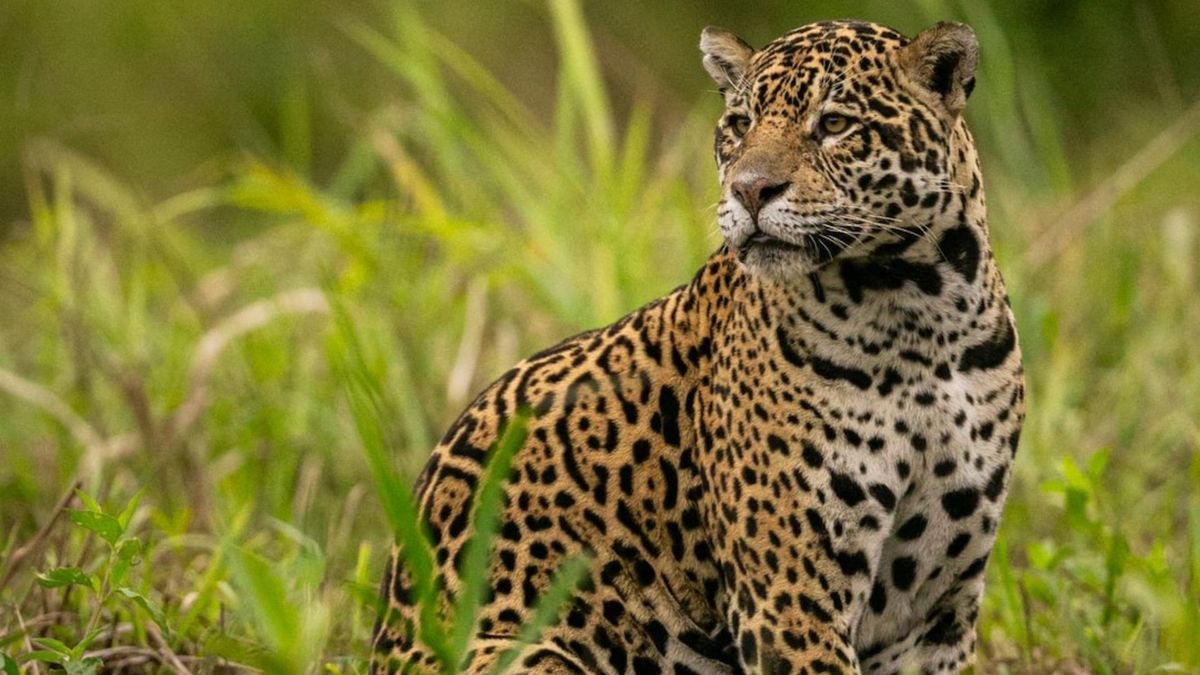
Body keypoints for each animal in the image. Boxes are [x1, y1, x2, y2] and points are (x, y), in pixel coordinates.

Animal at [372, 18, 1025, 675]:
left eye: (836, 124)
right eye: (739, 125)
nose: (751, 191)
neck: (915, 317)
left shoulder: (938, 611)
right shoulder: (790, 601)